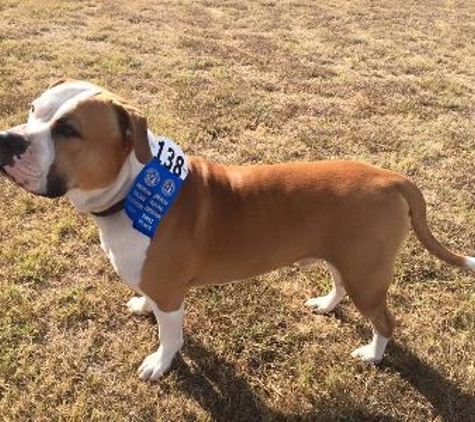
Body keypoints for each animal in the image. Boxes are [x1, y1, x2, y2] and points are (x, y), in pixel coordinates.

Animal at [0, 80, 475, 382]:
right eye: (34, 109)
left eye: (67, 130)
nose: (7, 139)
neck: (132, 188)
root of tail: (392, 178)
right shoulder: (156, 284)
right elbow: (149, 302)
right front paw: (141, 305)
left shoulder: (171, 296)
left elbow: (170, 335)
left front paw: (160, 363)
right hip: (347, 259)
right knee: (339, 283)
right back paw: (325, 304)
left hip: (368, 275)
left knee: (384, 321)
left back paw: (373, 355)